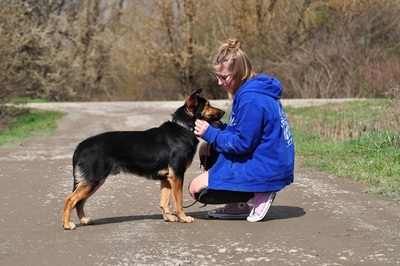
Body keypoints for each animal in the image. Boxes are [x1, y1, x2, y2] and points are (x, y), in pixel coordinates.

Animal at [62, 89, 225, 229]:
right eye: (208, 105)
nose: (224, 112)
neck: (183, 127)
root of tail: (81, 146)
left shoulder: (167, 178)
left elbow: (165, 201)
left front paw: (168, 217)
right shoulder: (177, 176)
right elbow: (178, 201)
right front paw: (183, 217)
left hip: (93, 182)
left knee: (79, 201)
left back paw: (83, 220)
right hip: (93, 180)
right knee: (70, 199)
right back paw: (67, 224)